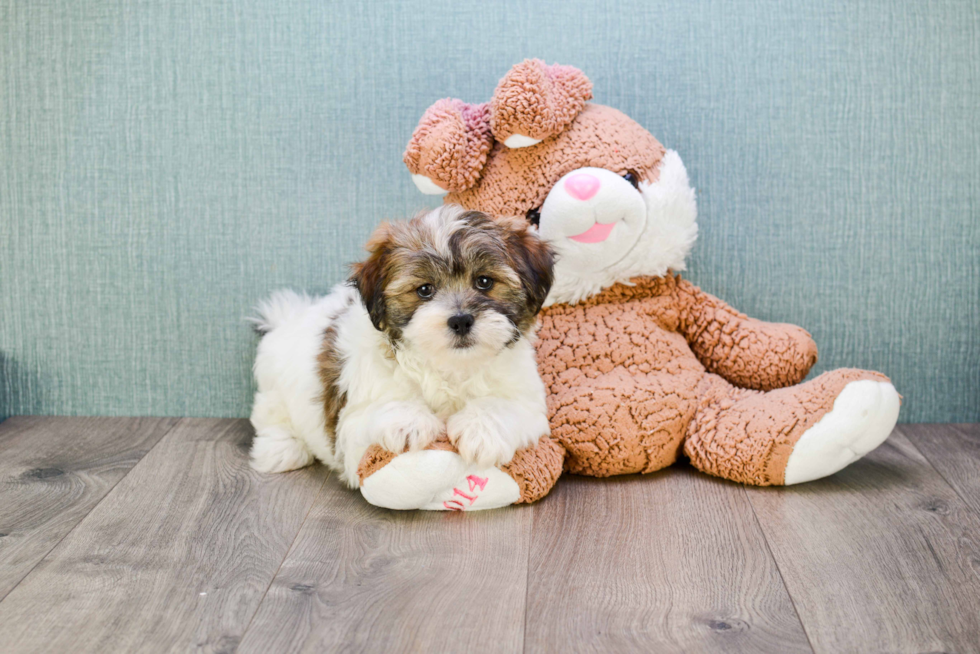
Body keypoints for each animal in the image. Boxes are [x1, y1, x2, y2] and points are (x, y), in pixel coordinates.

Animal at [249, 205, 556, 486]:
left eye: (484, 281)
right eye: (425, 290)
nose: (460, 320)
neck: (450, 367)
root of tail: (287, 319)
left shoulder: (528, 400)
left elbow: (506, 405)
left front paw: (481, 431)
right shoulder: (352, 420)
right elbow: (381, 407)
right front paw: (409, 422)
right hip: (273, 388)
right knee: (270, 417)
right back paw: (281, 449)